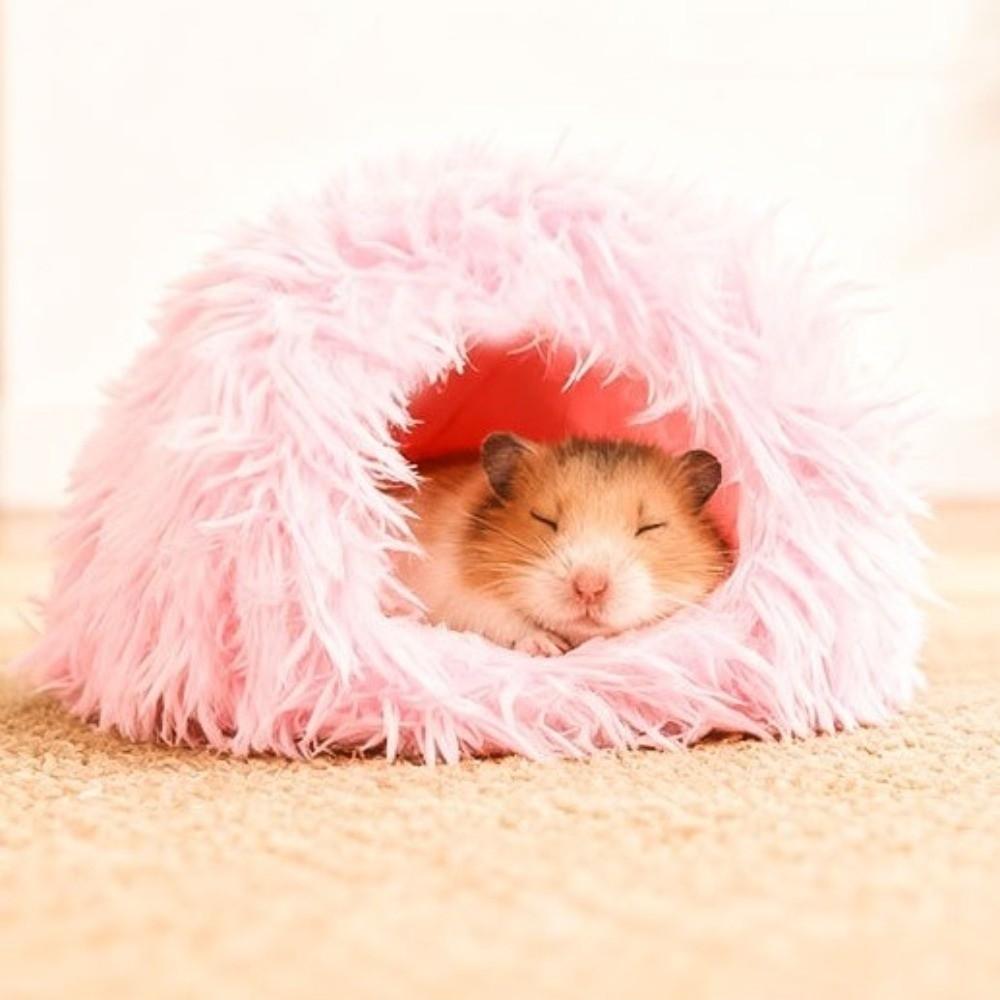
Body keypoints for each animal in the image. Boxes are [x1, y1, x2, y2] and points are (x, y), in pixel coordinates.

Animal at [392, 434, 730, 656]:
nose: (589, 589)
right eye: (544, 519)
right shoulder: (454, 595)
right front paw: (549, 647)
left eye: (651, 526)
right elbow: (500, 617)